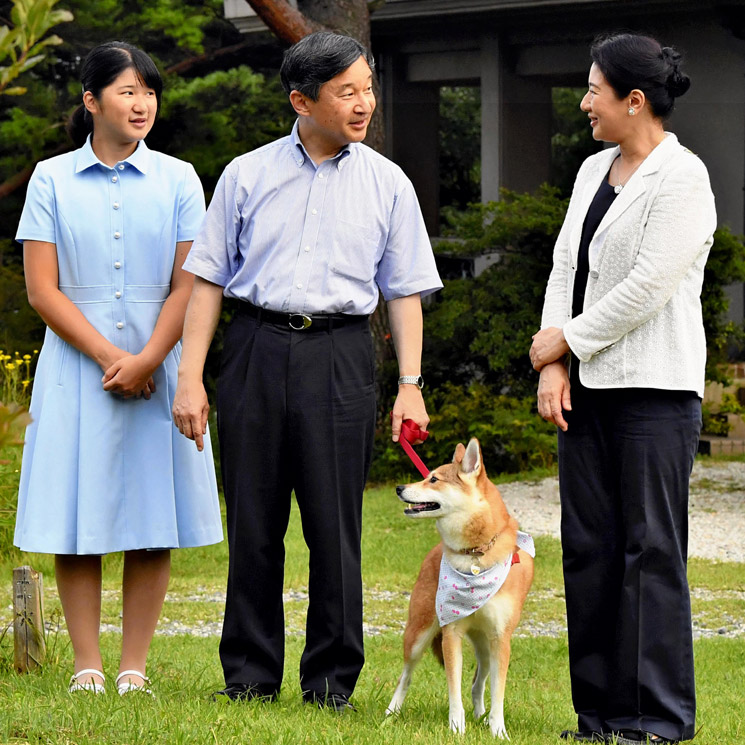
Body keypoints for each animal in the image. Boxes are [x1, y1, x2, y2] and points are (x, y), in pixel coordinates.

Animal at [384, 438, 536, 736]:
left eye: (433, 479)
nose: (399, 488)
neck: (475, 554)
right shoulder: (451, 633)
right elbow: (454, 689)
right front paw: (456, 727)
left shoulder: (501, 639)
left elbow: (497, 694)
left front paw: (497, 730)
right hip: (418, 634)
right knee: (405, 676)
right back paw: (391, 713)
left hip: (485, 648)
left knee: (478, 683)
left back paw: (481, 716)